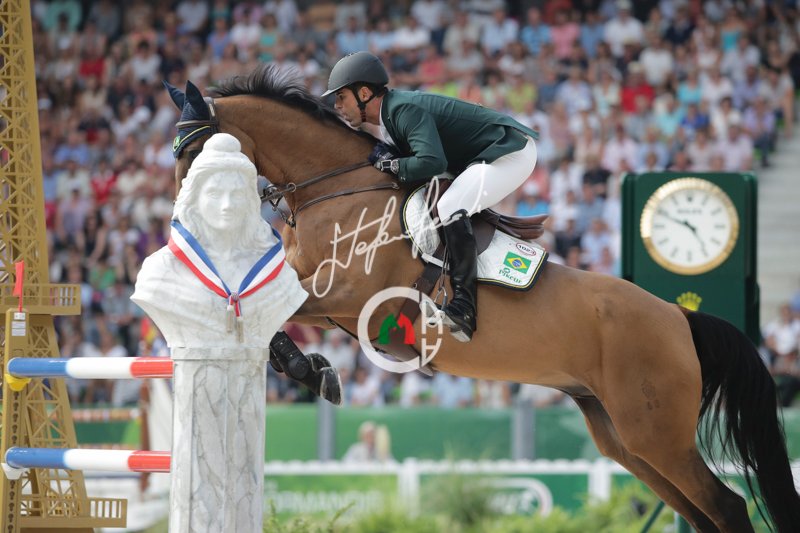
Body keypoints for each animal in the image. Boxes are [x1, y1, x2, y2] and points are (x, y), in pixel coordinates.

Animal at [165, 66, 799, 532]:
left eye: (195, 153)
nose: (181, 223)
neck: (334, 187)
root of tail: (679, 318)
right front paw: (313, 368)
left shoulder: (348, 293)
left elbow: (282, 316)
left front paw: (313, 370)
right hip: (624, 436)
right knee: (700, 509)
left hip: (655, 433)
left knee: (725, 506)